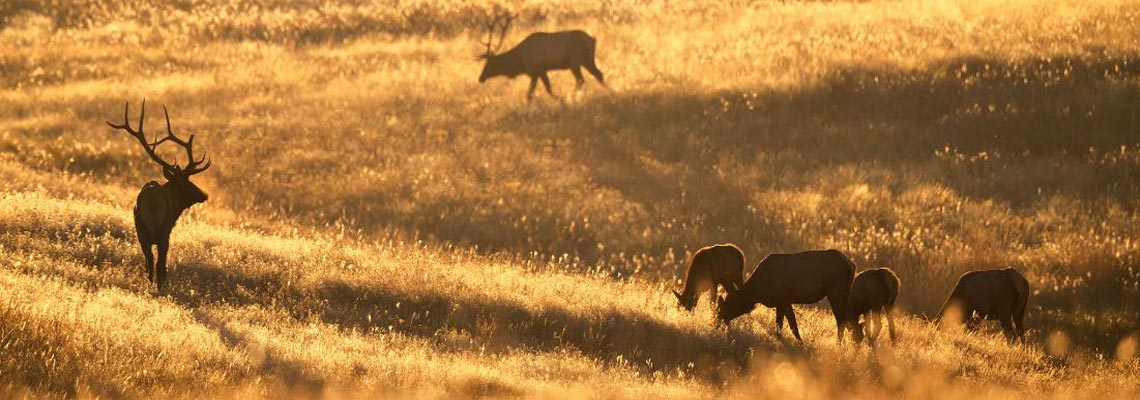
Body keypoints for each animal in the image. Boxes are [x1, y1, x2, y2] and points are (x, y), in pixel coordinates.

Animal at [108, 101, 214, 294]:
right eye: (188, 183)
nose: (204, 194)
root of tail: (152, 203)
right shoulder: (168, 230)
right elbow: (163, 264)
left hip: (141, 230)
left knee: (149, 262)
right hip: (163, 232)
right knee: (158, 263)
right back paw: (159, 287)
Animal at [474, 9, 606, 101]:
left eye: (489, 64)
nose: (480, 78)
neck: (521, 61)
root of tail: (592, 39)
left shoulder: (538, 69)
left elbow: (544, 90)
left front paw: (561, 100)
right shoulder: (536, 73)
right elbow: (531, 94)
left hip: (576, 61)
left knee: (581, 80)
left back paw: (575, 95)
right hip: (588, 60)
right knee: (599, 74)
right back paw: (607, 91)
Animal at [715, 249, 852, 344]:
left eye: (727, 305)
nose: (717, 322)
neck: (758, 292)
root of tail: (851, 265)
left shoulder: (784, 300)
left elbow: (792, 326)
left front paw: (801, 343)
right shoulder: (779, 303)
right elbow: (779, 325)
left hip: (835, 292)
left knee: (841, 319)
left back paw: (839, 344)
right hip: (845, 293)